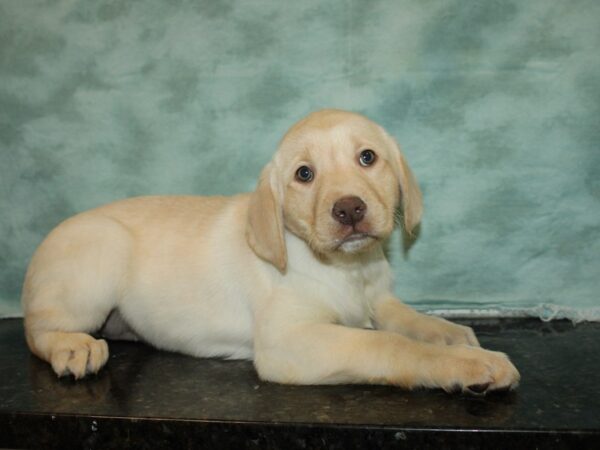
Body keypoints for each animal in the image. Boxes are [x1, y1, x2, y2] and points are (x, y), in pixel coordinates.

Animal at [23, 109, 516, 394]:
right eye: (304, 174)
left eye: (368, 158)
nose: (349, 209)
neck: (347, 269)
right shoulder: (289, 340)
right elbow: (388, 344)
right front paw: (467, 364)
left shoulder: (379, 298)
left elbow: (408, 319)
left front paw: (448, 333)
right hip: (98, 257)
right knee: (37, 330)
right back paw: (73, 348)